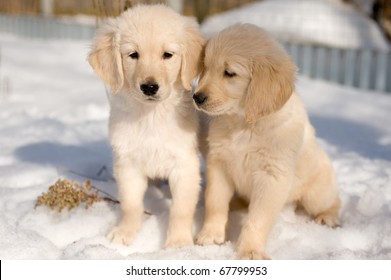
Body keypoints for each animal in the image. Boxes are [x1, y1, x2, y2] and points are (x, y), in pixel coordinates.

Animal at [89, 4, 205, 248]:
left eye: (167, 55)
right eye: (133, 55)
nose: (150, 87)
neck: (151, 116)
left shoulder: (184, 164)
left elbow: (181, 209)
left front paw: (178, 242)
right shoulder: (127, 164)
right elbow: (131, 205)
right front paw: (124, 232)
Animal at [194, 24, 342, 260]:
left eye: (229, 73)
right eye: (205, 67)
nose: (197, 98)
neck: (245, 125)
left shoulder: (271, 177)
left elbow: (258, 219)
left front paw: (250, 251)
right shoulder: (219, 164)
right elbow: (215, 202)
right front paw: (210, 236)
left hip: (316, 193)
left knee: (334, 201)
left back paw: (328, 218)